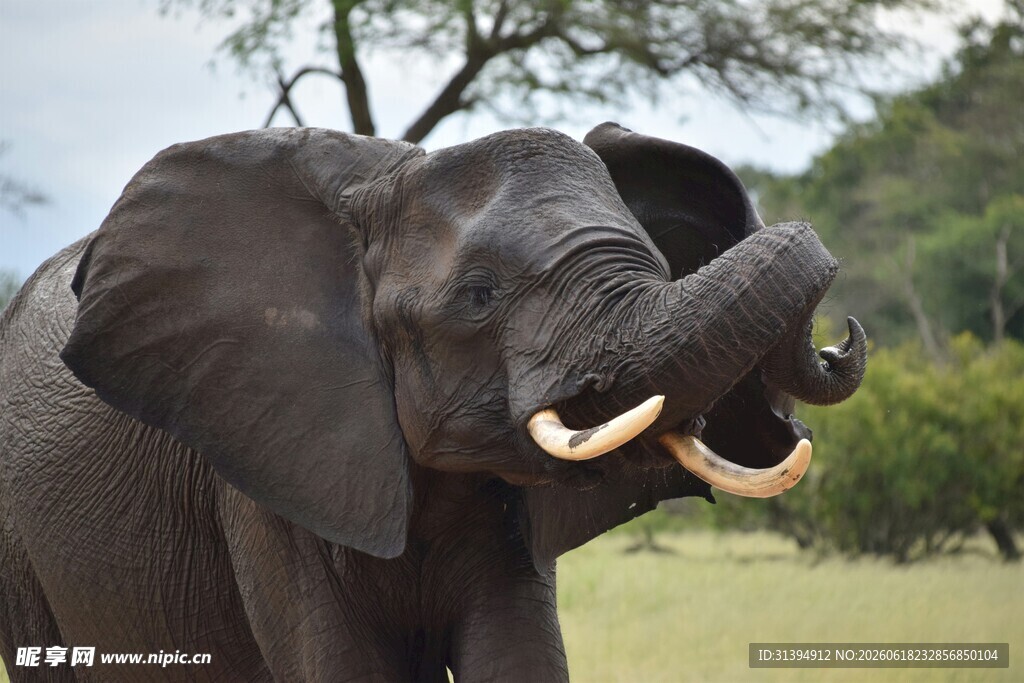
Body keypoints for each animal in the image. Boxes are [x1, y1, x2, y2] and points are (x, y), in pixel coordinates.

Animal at [0, 122, 866, 681]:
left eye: (660, 262)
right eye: (478, 297)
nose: (839, 340)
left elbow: (516, 655)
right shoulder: (264, 466)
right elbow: (338, 664)